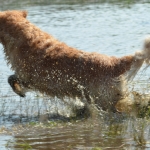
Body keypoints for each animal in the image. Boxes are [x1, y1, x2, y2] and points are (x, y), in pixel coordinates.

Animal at [0, 10, 150, 111]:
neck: (20, 35)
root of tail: (115, 63)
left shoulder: (30, 77)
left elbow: (11, 79)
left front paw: (19, 91)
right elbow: (11, 77)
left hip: (102, 99)